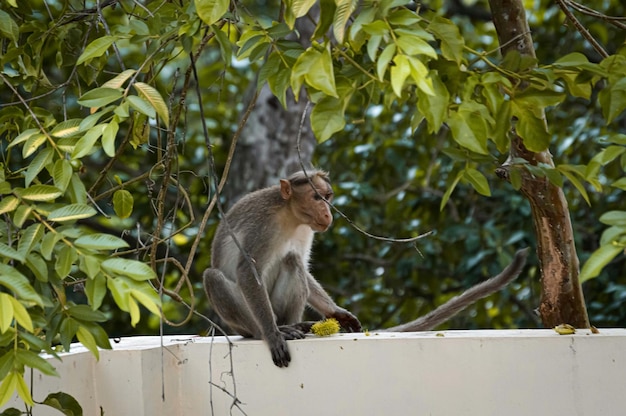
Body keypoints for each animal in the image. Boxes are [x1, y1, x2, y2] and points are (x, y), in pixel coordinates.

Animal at [204, 169, 360, 368]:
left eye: (327, 197)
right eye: (317, 197)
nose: (327, 214)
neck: (290, 215)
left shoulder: (306, 230)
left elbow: (303, 265)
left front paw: (337, 312)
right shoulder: (263, 226)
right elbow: (247, 272)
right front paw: (272, 335)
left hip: (276, 309)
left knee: (292, 259)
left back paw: (295, 325)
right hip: (245, 324)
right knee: (212, 276)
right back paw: (266, 332)